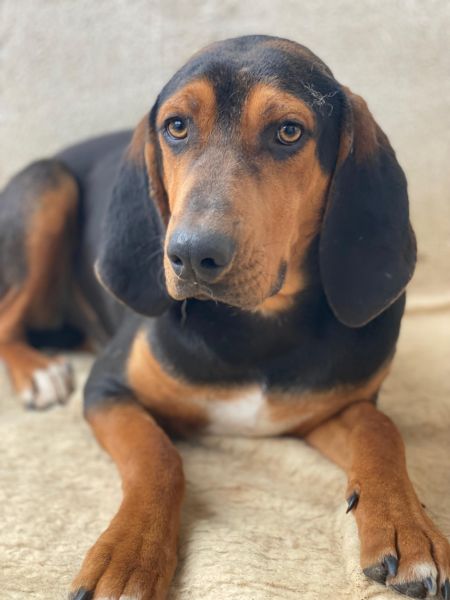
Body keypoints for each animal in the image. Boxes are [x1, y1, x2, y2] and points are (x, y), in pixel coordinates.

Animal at [0, 35, 449, 600]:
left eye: (288, 131)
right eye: (176, 126)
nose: (192, 255)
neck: (255, 324)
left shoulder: (332, 406)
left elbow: (382, 429)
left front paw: (408, 526)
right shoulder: (106, 389)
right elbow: (159, 457)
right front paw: (128, 555)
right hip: (48, 184)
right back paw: (37, 372)